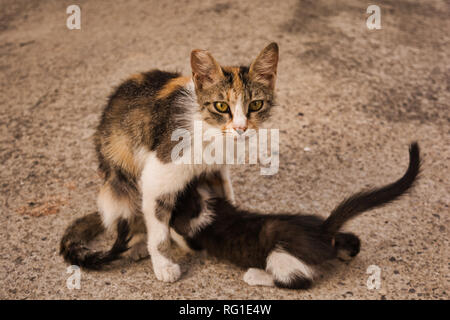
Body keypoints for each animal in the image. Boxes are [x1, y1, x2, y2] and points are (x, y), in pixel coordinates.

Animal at [59, 42, 278, 282]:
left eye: (256, 105)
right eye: (221, 106)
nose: (241, 128)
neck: (208, 128)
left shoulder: (216, 170)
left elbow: (226, 192)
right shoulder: (157, 176)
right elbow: (158, 231)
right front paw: (164, 265)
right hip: (120, 175)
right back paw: (138, 244)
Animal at [166, 142, 422, 288]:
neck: (205, 203)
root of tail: (322, 230)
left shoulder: (194, 233)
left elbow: (181, 236)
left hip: (280, 254)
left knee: (297, 282)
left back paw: (257, 275)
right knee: (351, 240)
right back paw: (345, 250)